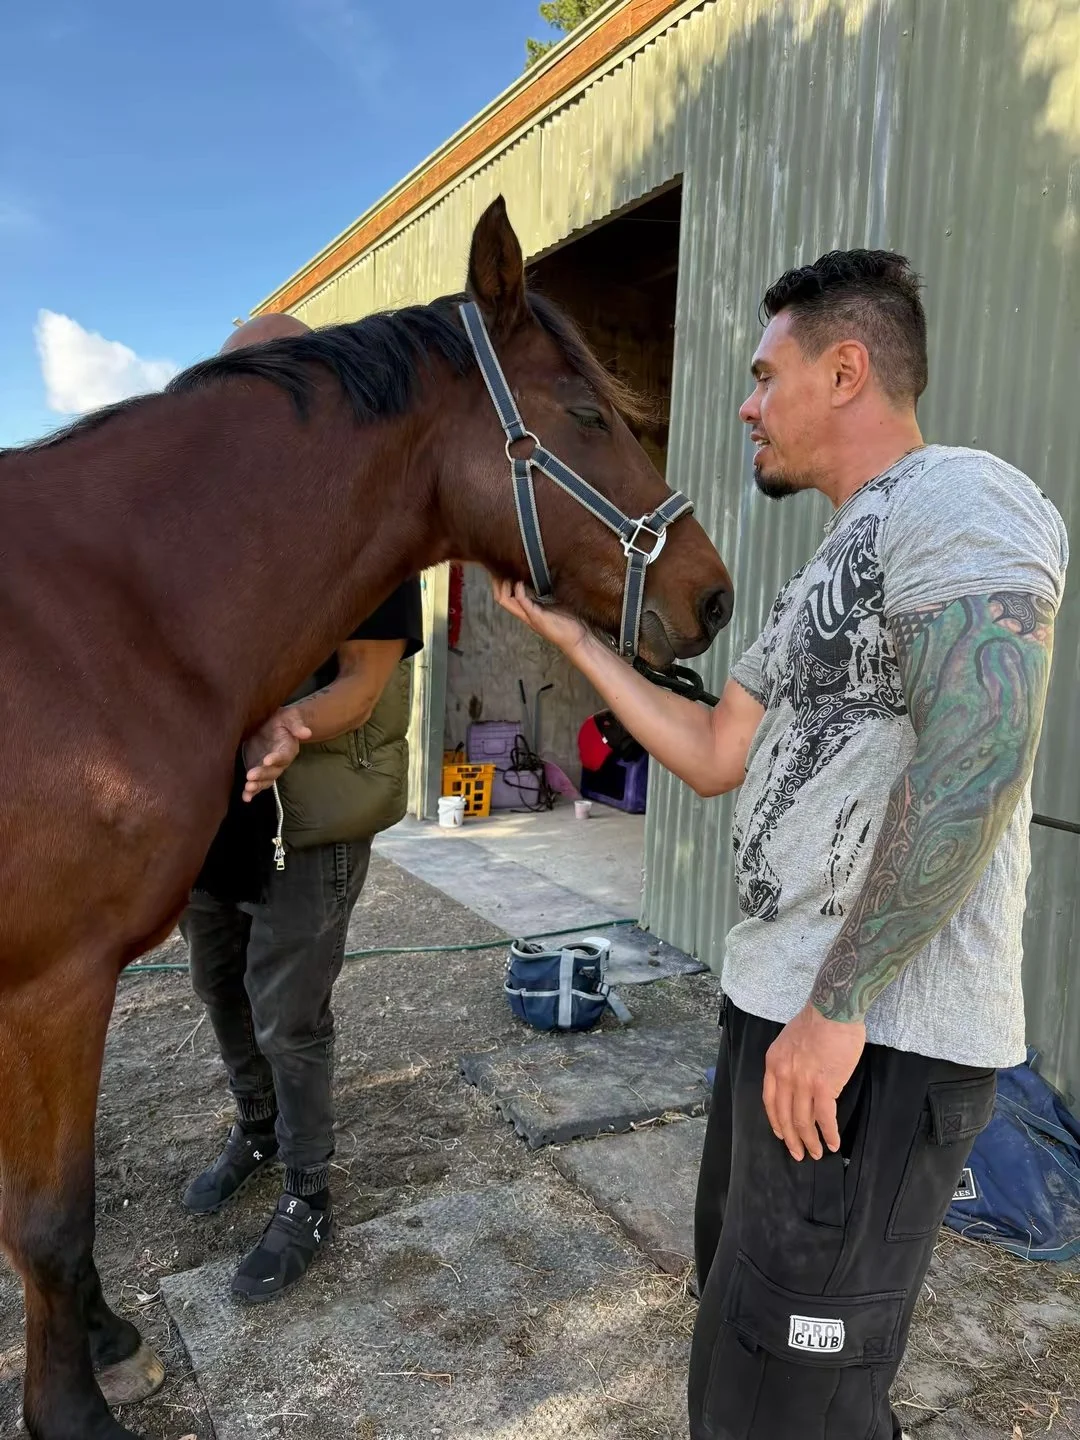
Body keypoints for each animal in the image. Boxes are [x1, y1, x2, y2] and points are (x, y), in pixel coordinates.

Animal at [0, 195, 733, 1439]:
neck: (110, 620)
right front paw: (76, 1407)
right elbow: (49, 1216)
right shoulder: (52, 983)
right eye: (587, 413)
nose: (715, 594)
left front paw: (107, 1344)